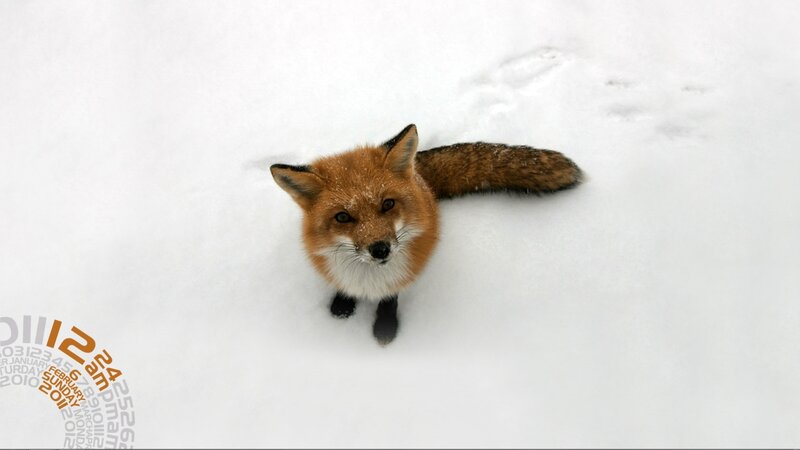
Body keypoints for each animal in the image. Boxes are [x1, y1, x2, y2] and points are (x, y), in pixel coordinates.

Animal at [270, 124, 581, 345]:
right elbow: (343, 288)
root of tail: (419, 175)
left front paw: (385, 328)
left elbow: (390, 299)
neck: (369, 280)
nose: (380, 249)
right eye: (343, 217)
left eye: (388, 204)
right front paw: (342, 305)